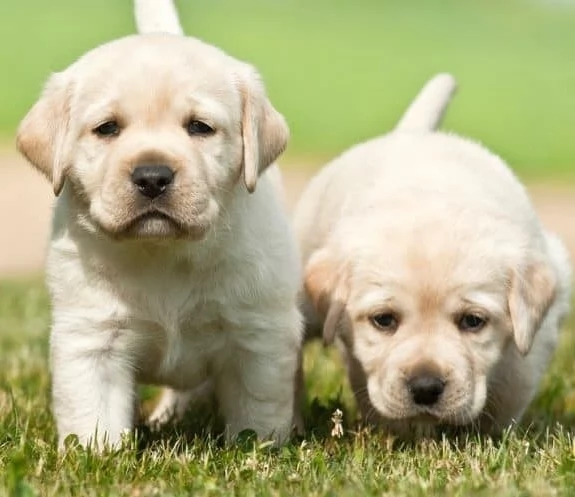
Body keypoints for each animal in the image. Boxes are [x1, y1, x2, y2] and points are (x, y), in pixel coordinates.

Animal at [15, 0, 304, 450]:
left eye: (199, 127)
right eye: (107, 128)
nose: (152, 176)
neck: (163, 252)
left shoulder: (259, 335)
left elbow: (257, 412)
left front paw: (258, 450)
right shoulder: (92, 338)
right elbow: (92, 419)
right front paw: (98, 455)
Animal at [294, 73, 572, 434]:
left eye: (473, 321)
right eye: (383, 320)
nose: (425, 387)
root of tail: (412, 133)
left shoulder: (534, 338)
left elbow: (513, 384)